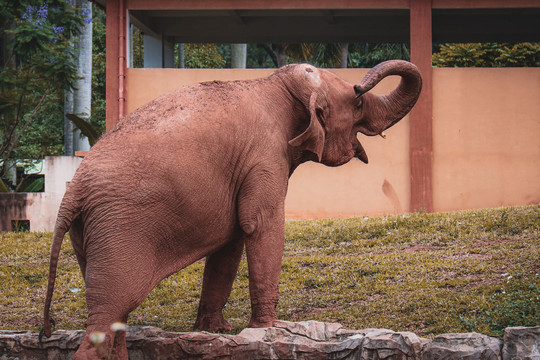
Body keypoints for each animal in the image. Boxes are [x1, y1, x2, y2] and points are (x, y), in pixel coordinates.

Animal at [42, 59, 422, 358]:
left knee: (115, 317)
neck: (275, 84)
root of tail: (72, 193)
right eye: (357, 103)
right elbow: (261, 225)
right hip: (117, 231)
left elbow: (232, 241)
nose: (361, 82)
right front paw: (270, 327)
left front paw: (216, 331)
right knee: (108, 315)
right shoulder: (265, 155)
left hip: (89, 233)